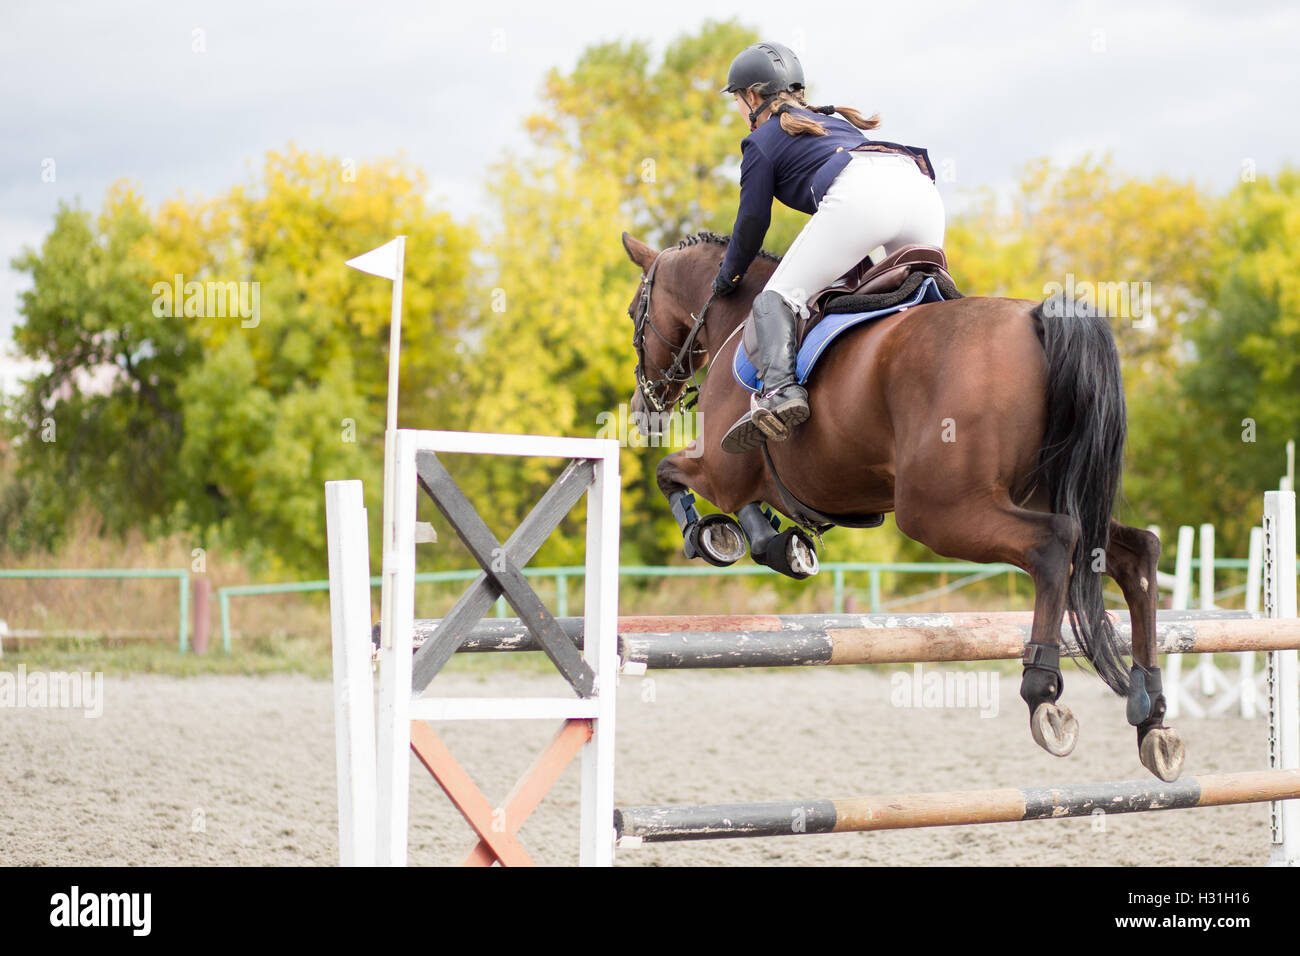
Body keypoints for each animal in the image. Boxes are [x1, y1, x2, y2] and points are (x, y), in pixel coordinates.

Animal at [621, 227, 1190, 780]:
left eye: (632, 313)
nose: (642, 408)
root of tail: (1036, 319)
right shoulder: (767, 481)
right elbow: (745, 508)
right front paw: (781, 546)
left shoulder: (723, 468)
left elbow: (670, 474)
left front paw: (712, 537)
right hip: (1047, 493)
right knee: (1135, 552)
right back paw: (1151, 711)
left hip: (940, 511)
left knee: (1054, 544)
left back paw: (1043, 691)